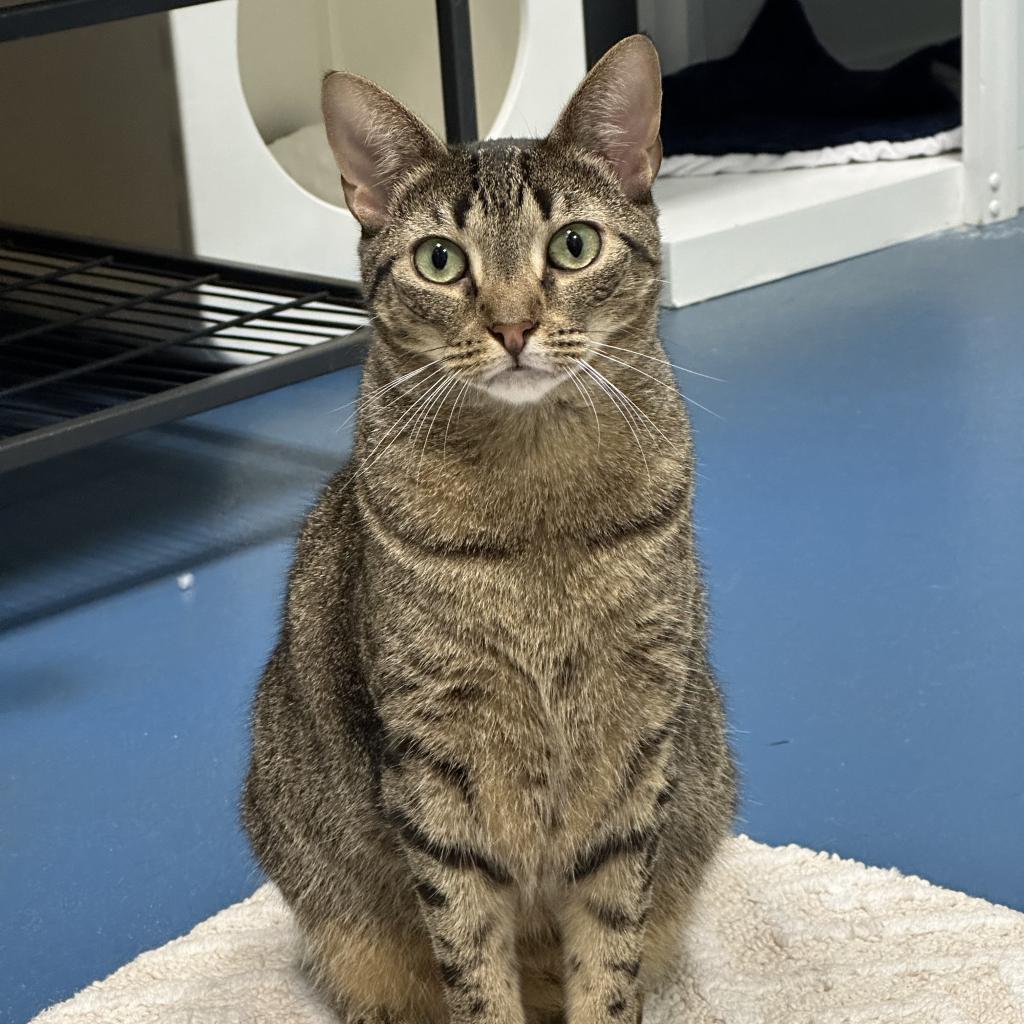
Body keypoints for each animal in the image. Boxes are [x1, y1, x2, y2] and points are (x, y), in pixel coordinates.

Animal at [242, 32, 733, 1024]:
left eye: (574, 245)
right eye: (440, 260)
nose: (513, 325)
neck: (533, 509)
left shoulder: (635, 743)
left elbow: (609, 955)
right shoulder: (432, 761)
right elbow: (469, 953)